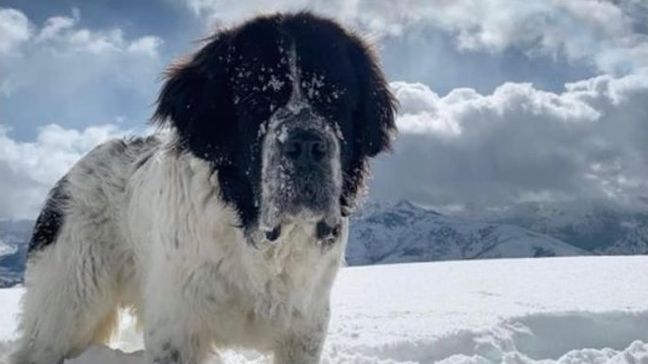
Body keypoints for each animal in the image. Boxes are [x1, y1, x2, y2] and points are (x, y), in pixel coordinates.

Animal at [11, 11, 394, 364]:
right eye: (255, 100)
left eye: (336, 99)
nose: (306, 144)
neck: (254, 239)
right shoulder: (176, 329)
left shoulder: (305, 330)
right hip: (67, 306)